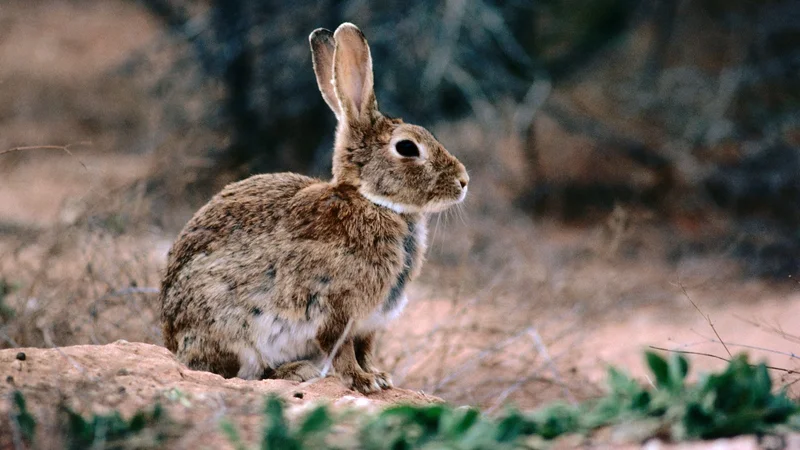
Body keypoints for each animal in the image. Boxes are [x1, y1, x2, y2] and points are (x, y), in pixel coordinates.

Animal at [160, 22, 468, 392]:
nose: (464, 181)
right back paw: (296, 371)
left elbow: (365, 349)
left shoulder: (369, 323)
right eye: (407, 147)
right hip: (233, 329)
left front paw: (379, 377)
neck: (372, 201)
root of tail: (173, 343)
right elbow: (341, 349)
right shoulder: (335, 309)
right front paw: (362, 381)